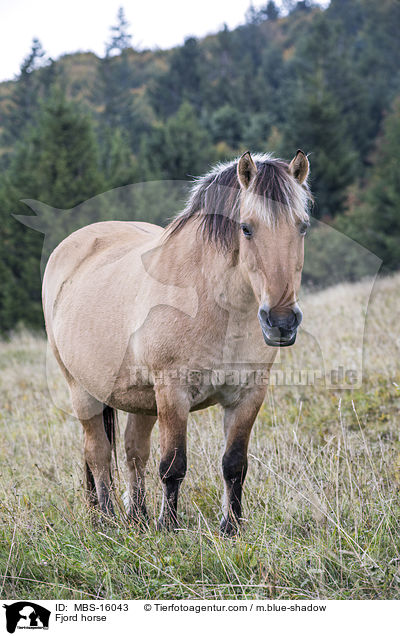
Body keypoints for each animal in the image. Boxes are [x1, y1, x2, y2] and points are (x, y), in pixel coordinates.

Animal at [43, 150, 312, 536]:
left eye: (302, 226)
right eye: (246, 228)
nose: (281, 321)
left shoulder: (249, 395)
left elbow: (235, 464)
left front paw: (231, 528)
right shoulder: (173, 392)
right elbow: (173, 464)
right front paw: (169, 526)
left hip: (140, 399)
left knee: (133, 451)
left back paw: (137, 518)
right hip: (83, 391)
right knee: (98, 454)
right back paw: (106, 520)